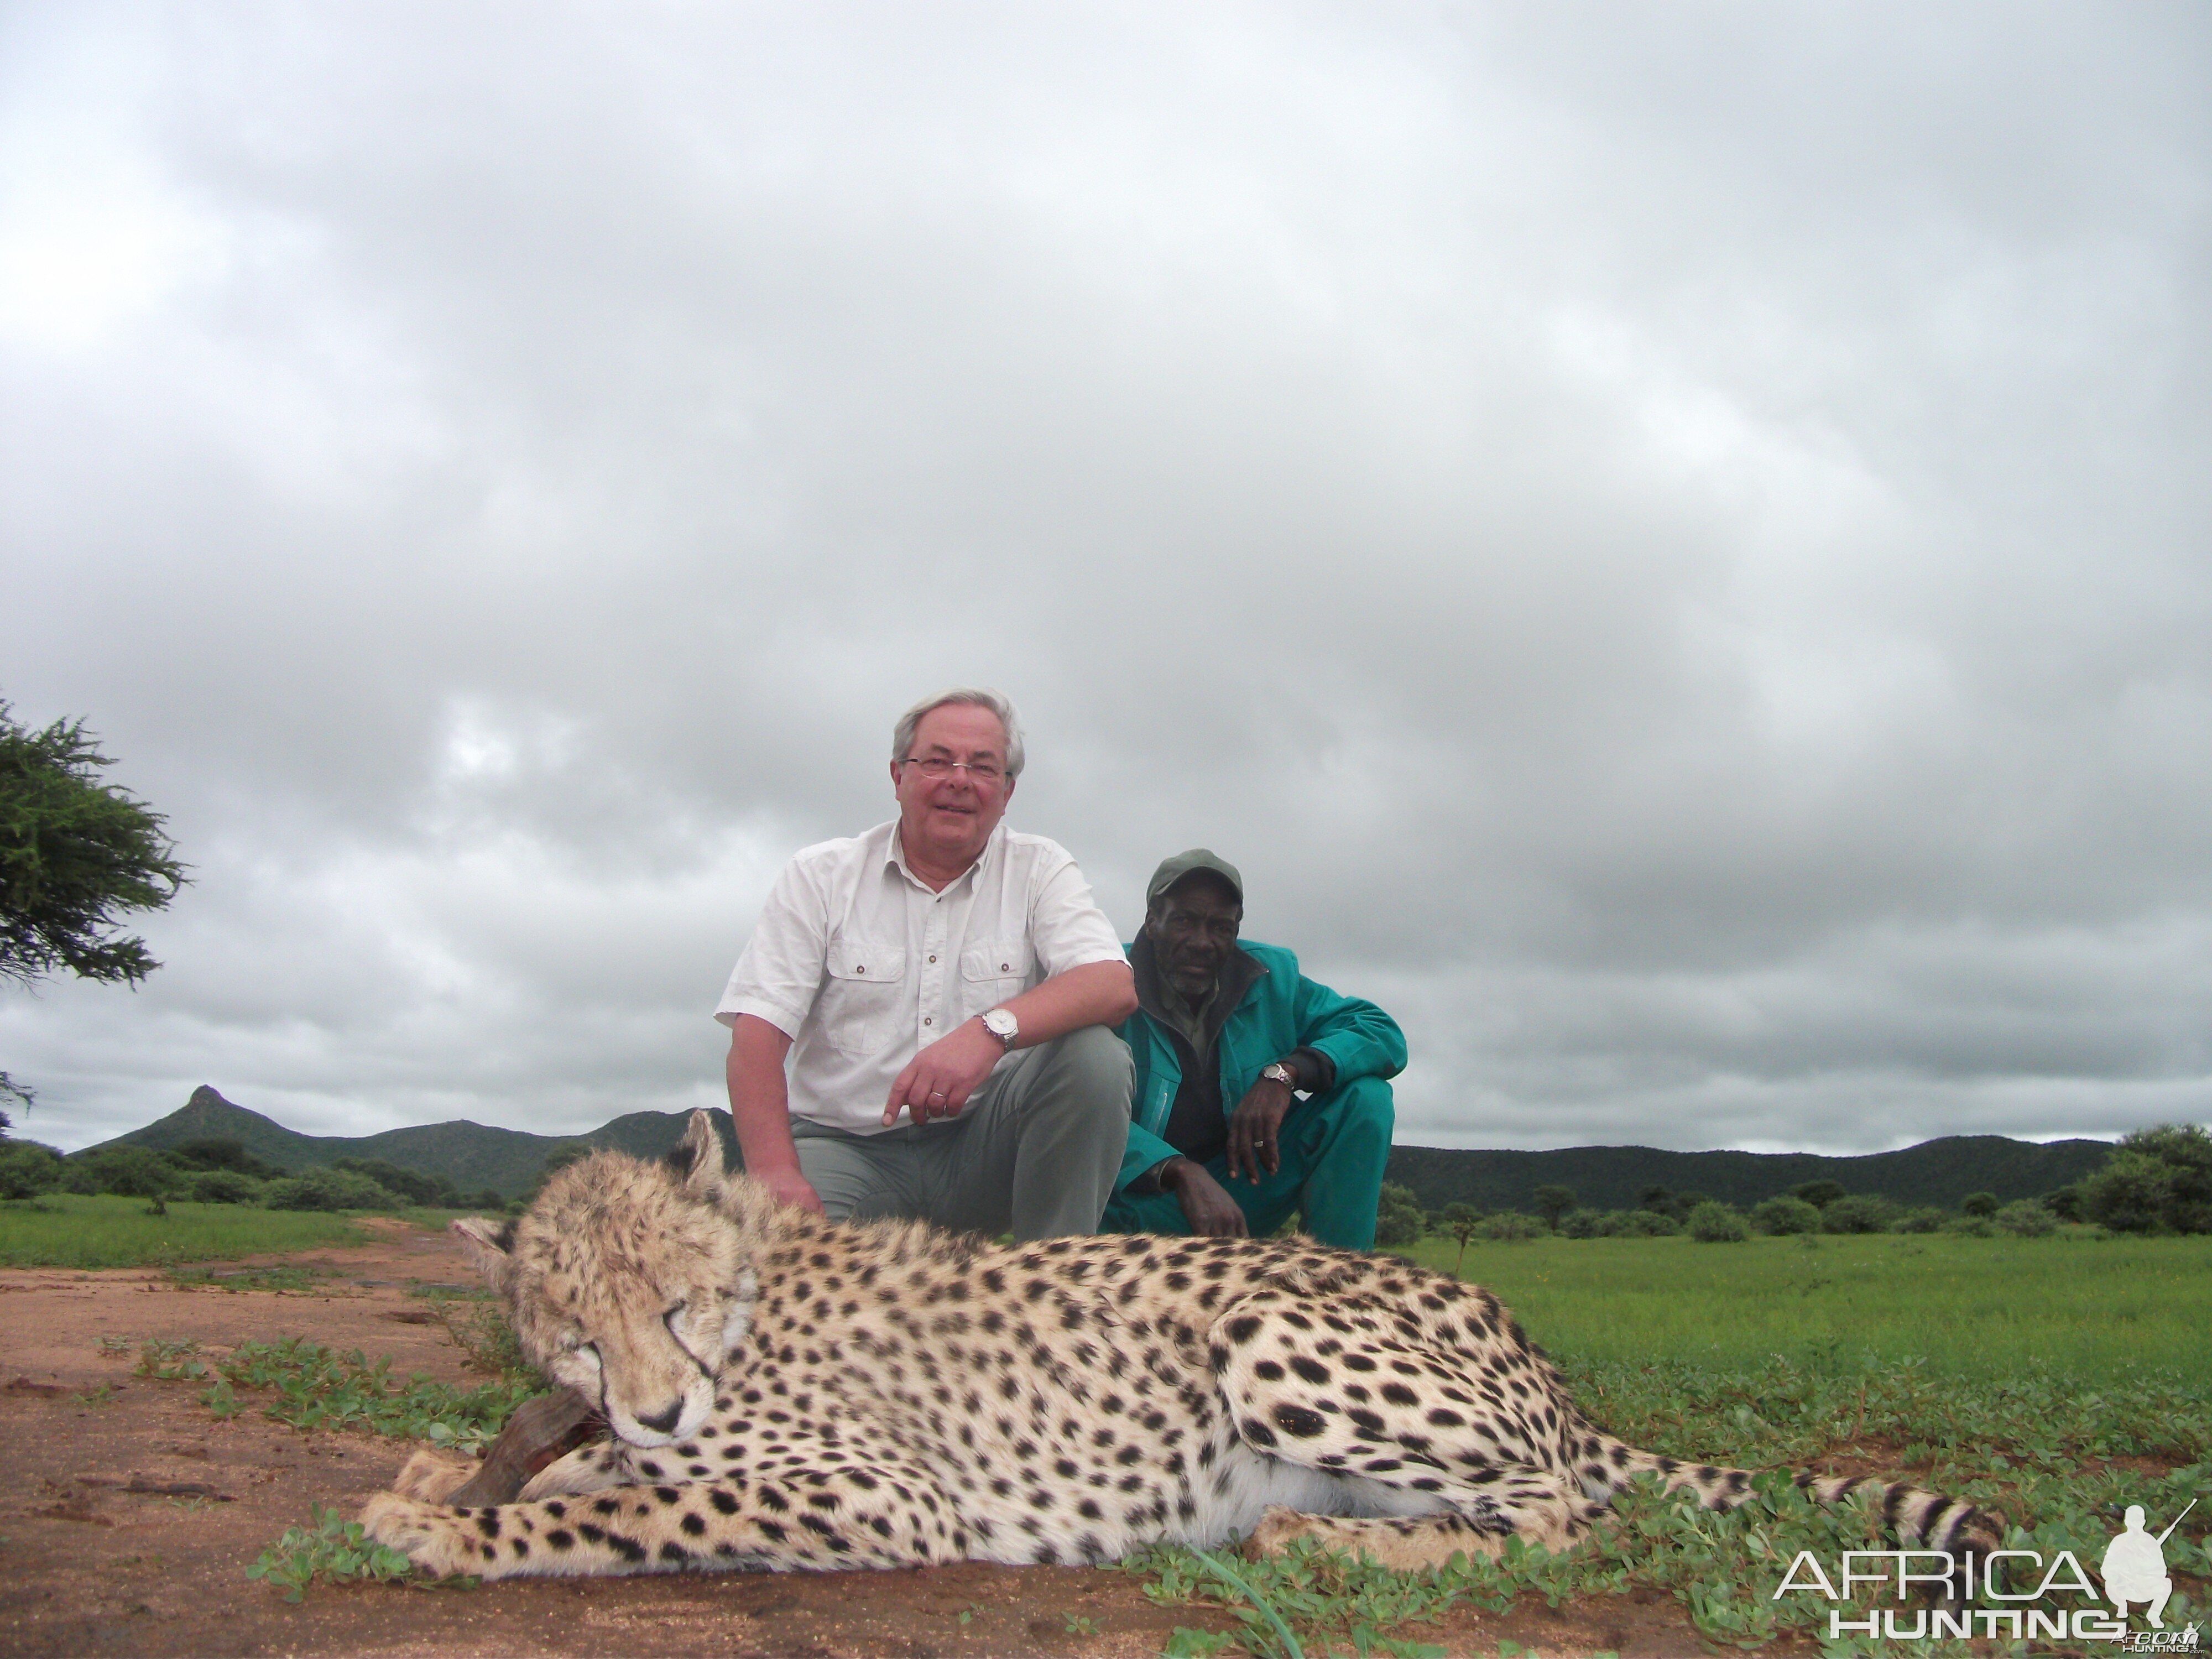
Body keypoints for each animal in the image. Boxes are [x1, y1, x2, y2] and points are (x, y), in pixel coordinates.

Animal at [367, 1119, 2008, 1584]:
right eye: (579, 1334)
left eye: (673, 1303)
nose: (648, 1405)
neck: (757, 1299)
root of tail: (1524, 1338)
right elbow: (575, 1471)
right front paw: (444, 1469)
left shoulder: (887, 1494)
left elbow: (631, 1510)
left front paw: (440, 1526)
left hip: (1266, 1326)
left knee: (1561, 1512)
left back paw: (1320, 1549)